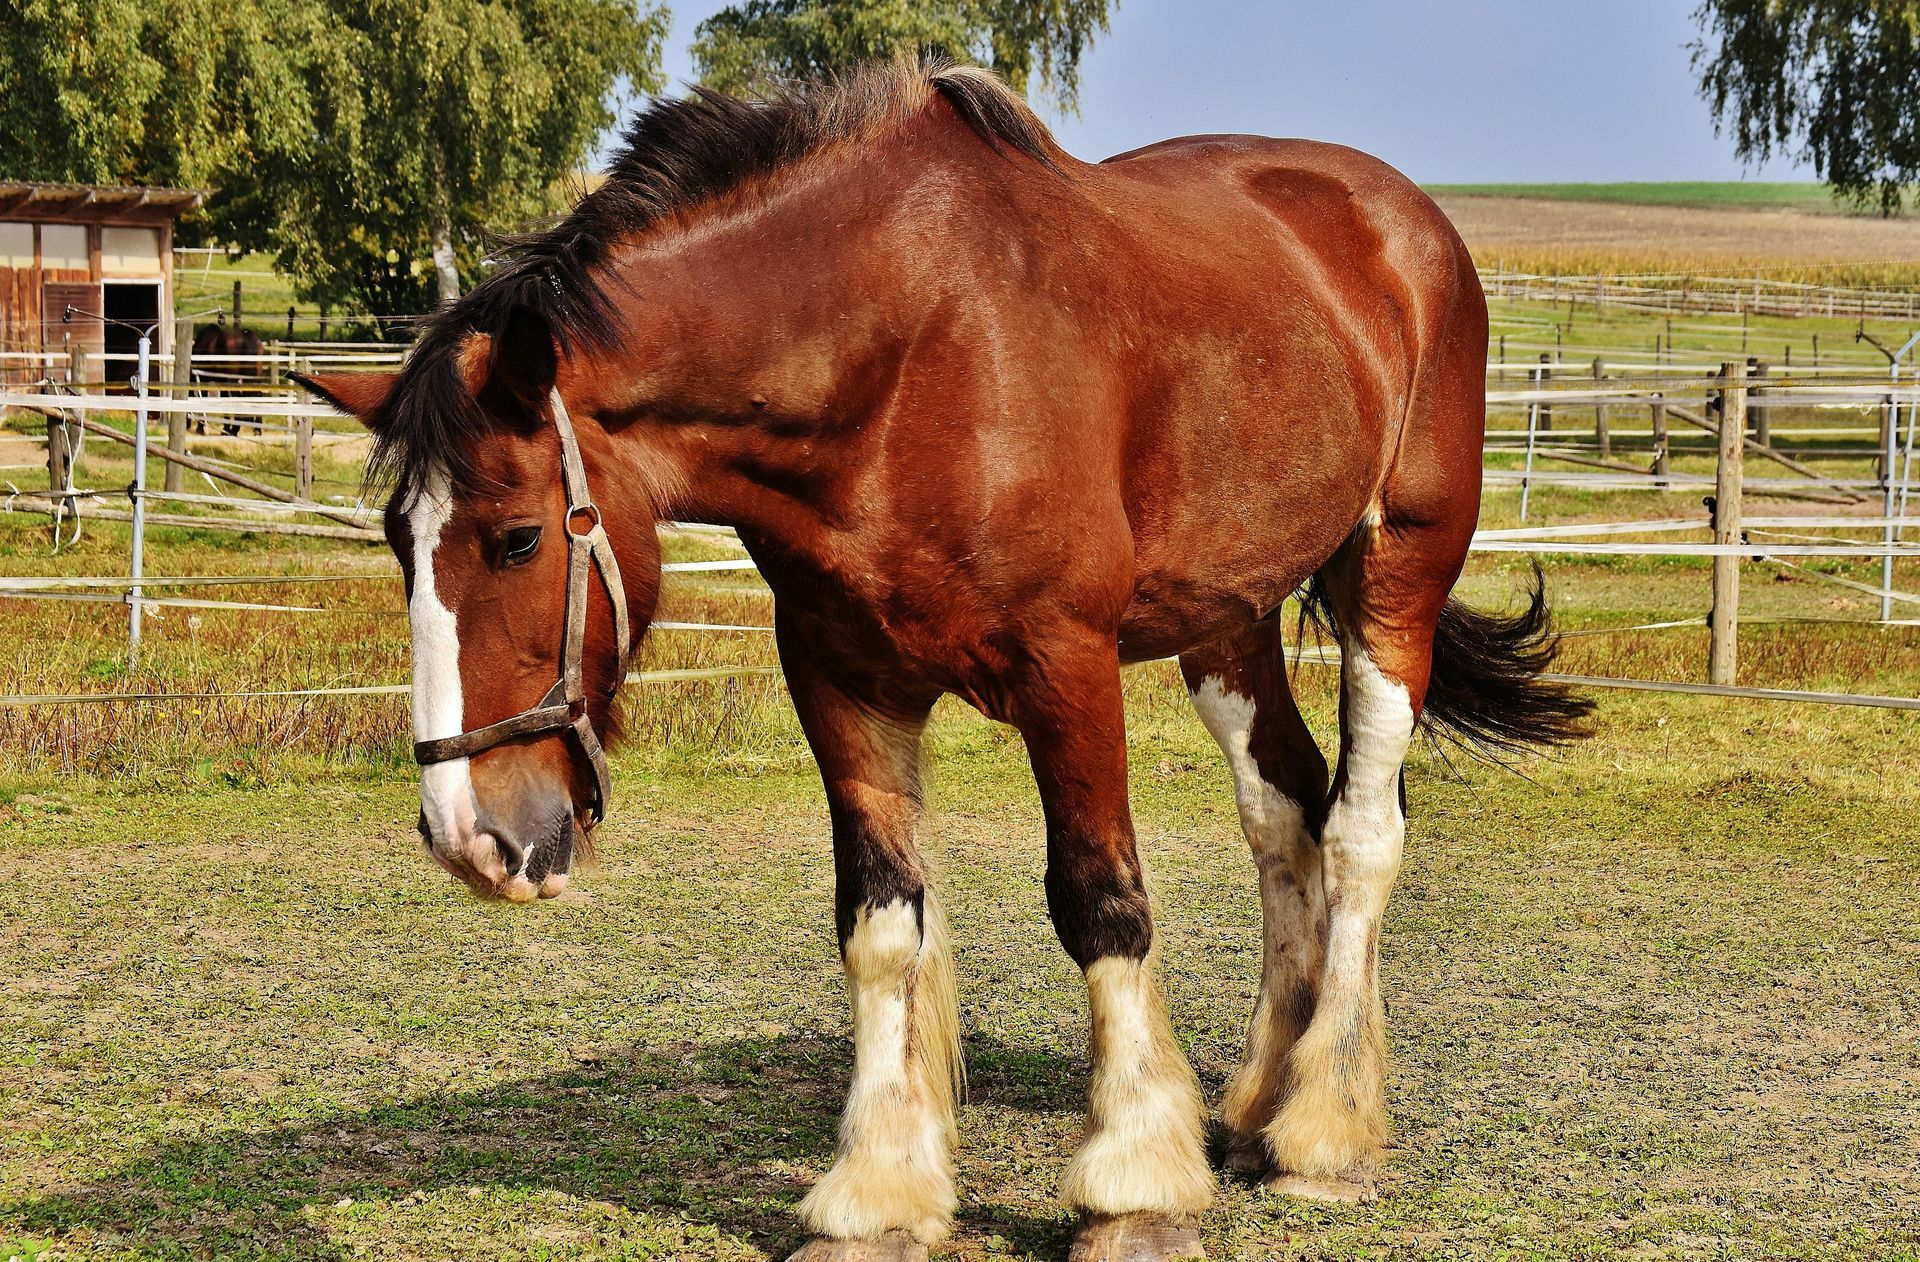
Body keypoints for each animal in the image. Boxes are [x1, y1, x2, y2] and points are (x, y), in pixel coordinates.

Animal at [297, 60, 1590, 1262]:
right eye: (398, 542)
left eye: (516, 536)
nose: (470, 835)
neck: (904, 358)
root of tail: (1401, 220)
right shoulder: (842, 679)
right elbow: (880, 922)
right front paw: (878, 1189)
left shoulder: (1067, 669)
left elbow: (1102, 902)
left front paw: (1131, 1184)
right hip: (1226, 618)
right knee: (1285, 812)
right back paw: (1259, 1100)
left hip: (1395, 576)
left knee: (1361, 829)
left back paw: (1323, 1127)